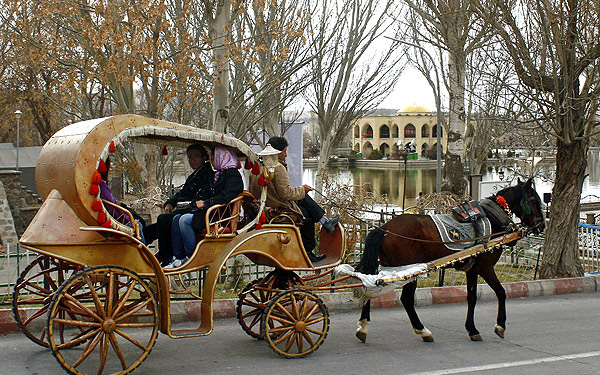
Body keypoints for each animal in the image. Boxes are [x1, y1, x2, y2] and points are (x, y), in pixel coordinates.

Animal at [354, 179, 548, 344]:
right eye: (534, 199)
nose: (542, 226)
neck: (493, 219)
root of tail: (384, 229)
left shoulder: (473, 269)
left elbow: (472, 297)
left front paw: (472, 329)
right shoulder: (485, 267)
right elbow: (501, 292)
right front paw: (500, 326)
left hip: (390, 267)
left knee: (371, 288)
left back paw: (363, 327)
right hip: (409, 270)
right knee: (406, 299)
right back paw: (423, 331)